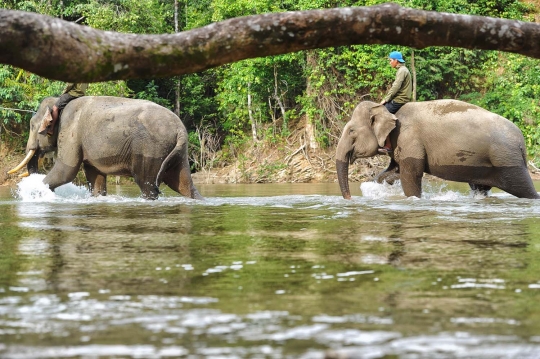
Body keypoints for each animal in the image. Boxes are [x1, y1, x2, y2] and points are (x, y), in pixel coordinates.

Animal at [8, 97, 202, 201]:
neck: (59, 102)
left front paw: (37, 192)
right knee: (184, 184)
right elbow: (95, 179)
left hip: (150, 148)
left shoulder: (70, 131)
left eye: (32, 126)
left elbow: (66, 171)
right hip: (176, 152)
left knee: (147, 185)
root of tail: (180, 129)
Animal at [338, 100, 540, 200]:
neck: (389, 112)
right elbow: (392, 171)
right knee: (480, 188)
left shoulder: (409, 138)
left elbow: (411, 176)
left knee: (526, 190)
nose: (349, 199)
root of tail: (522, 142)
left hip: (507, 160)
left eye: (351, 131)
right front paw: (379, 183)